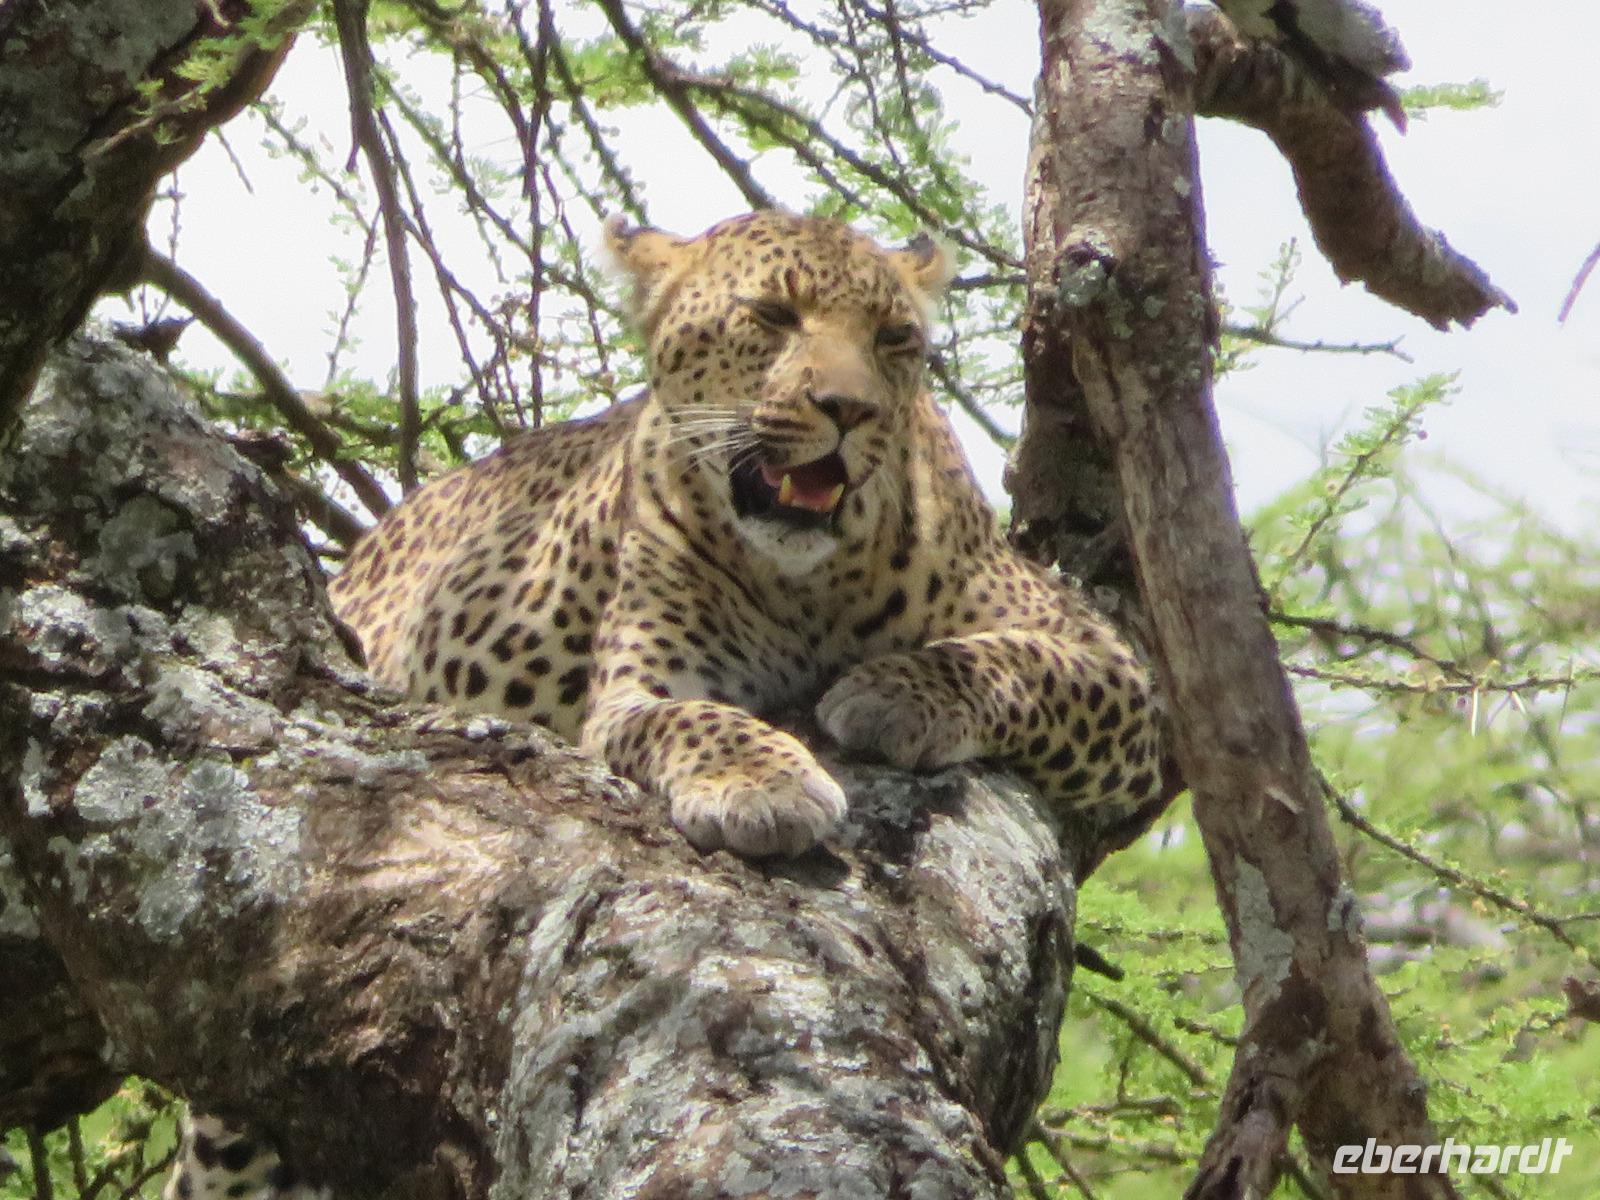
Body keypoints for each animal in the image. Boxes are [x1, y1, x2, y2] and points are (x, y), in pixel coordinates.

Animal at [165, 210, 1162, 1200]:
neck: (810, 585)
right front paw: (764, 784)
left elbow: (1014, 662)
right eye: (772, 314)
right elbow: (697, 720)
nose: (851, 410)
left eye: (894, 340)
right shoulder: (645, 687)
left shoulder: (1113, 668)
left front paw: (890, 692)